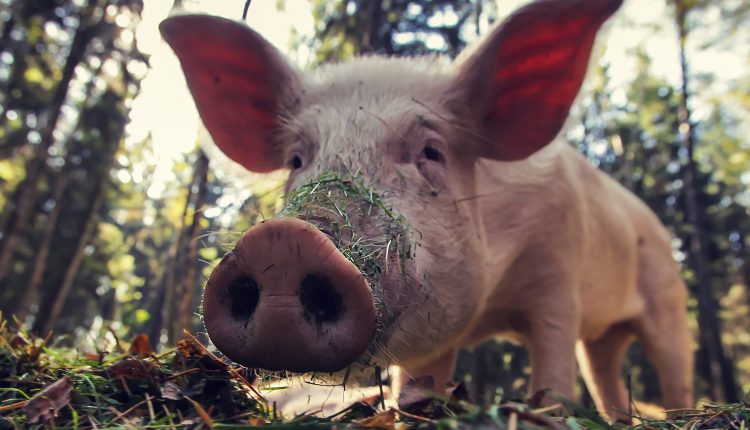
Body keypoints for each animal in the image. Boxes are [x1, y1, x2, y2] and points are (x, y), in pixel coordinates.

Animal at [162, 0, 696, 422]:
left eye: (432, 151)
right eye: (297, 159)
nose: (284, 240)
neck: (490, 310)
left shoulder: (558, 275)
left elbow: (553, 372)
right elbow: (416, 388)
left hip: (668, 297)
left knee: (673, 369)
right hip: (606, 337)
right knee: (606, 374)